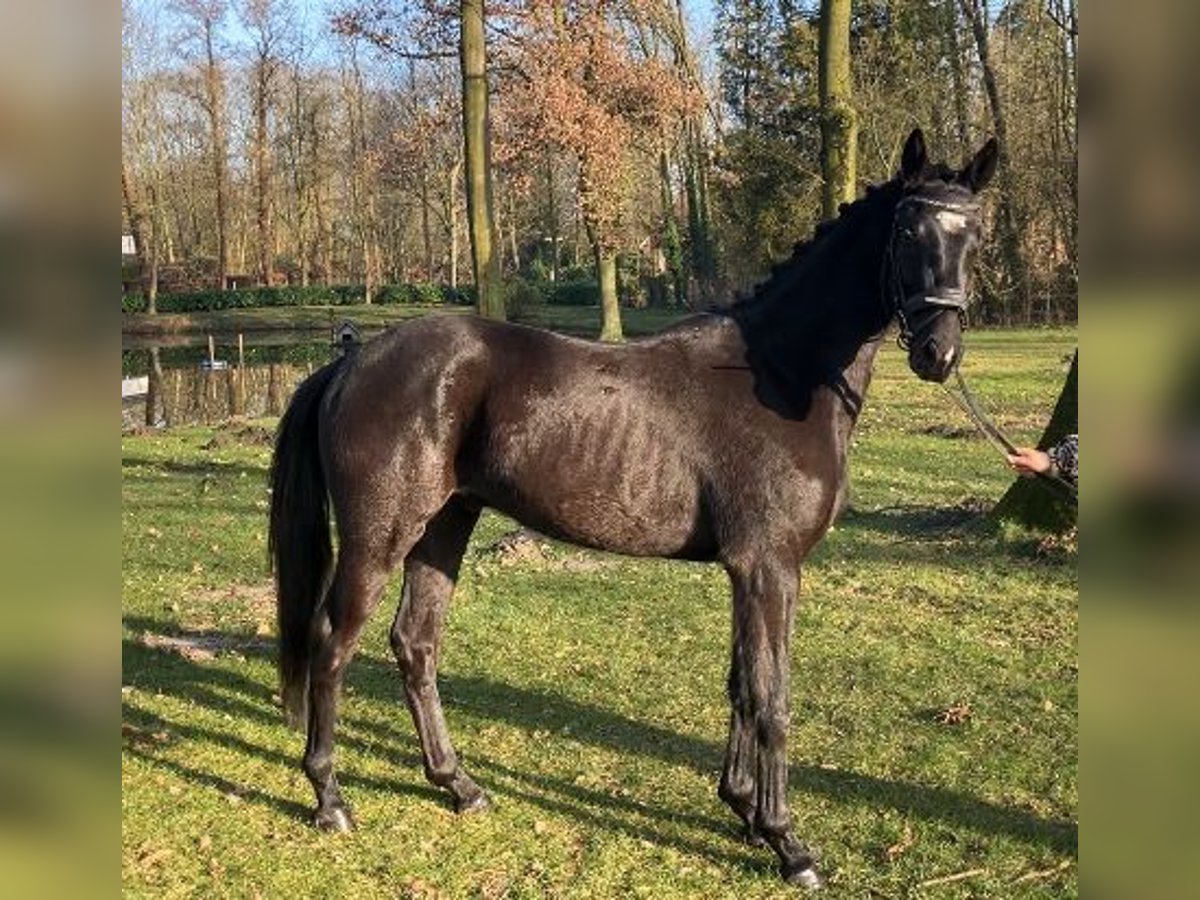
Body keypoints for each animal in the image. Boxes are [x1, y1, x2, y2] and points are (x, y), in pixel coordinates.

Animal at [276, 130, 998, 892]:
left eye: (975, 234)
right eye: (909, 230)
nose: (939, 352)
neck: (781, 374)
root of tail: (352, 360)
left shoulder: (752, 572)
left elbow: (741, 685)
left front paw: (743, 809)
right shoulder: (769, 567)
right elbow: (771, 697)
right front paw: (787, 842)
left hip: (444, 526)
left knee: (415, 644)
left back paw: (459, 786)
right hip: (378, 536)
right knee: (332, 642)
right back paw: (329, 798)